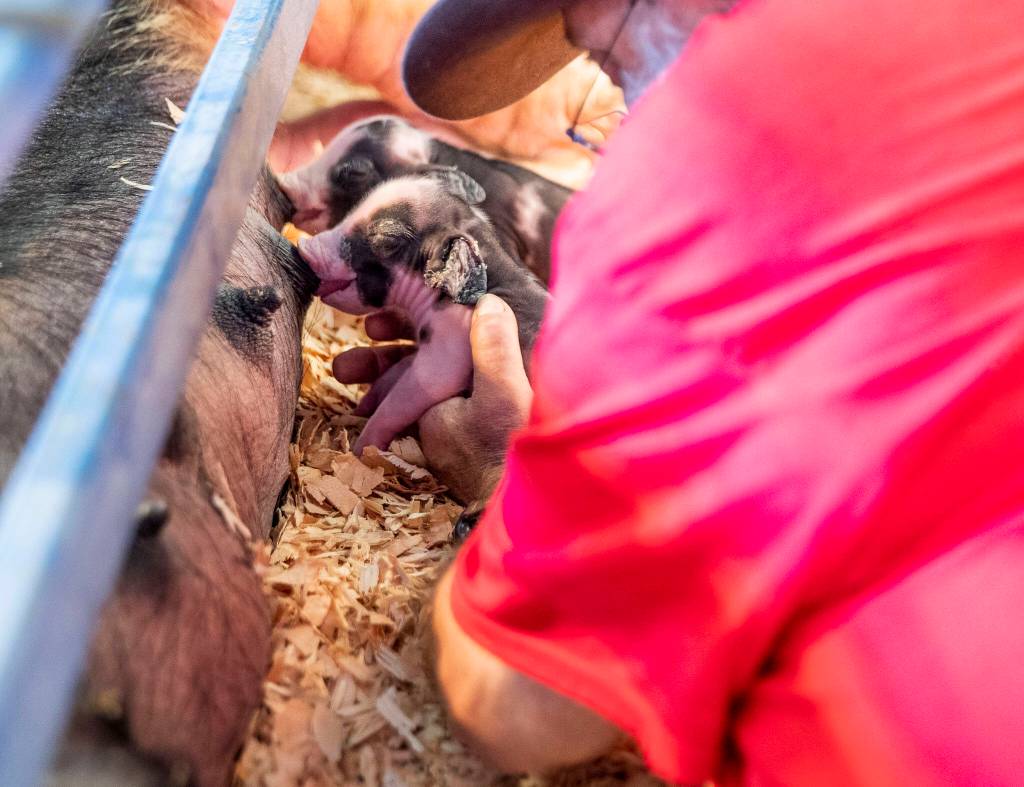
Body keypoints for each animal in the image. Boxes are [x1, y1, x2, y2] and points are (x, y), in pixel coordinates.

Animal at [299, 170, 549, 453]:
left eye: (386, 240)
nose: (303, 246)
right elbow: (400, 368)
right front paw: (364, 405)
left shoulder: (446, 355)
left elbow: (406, 396)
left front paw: (361, 448)